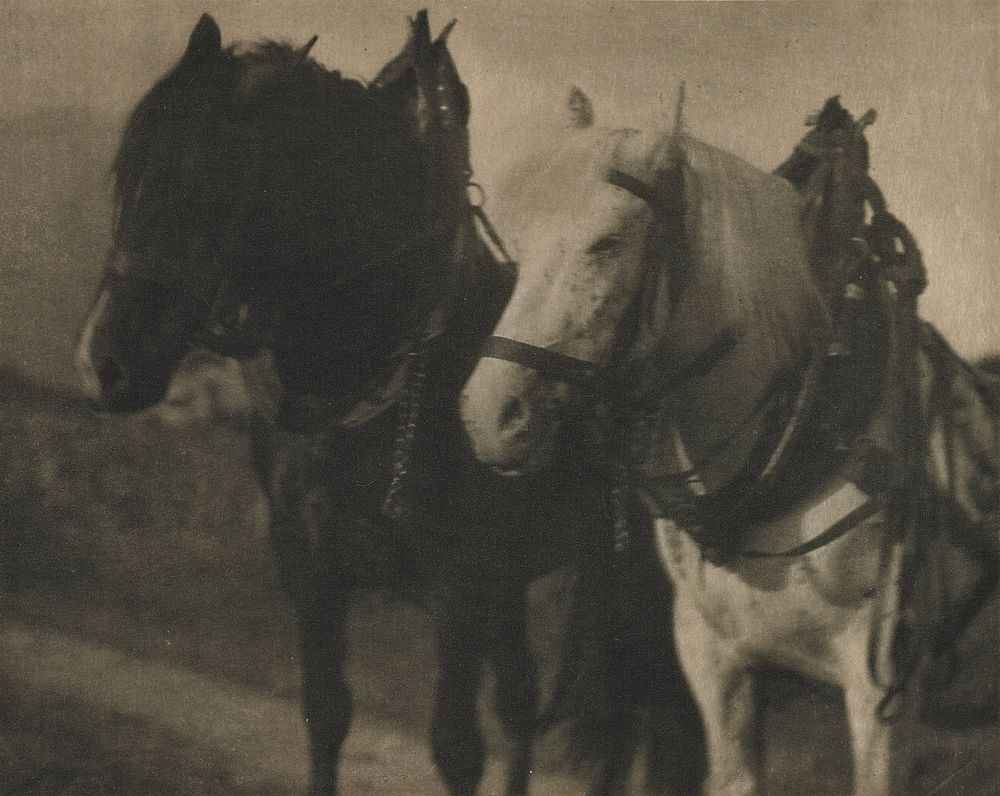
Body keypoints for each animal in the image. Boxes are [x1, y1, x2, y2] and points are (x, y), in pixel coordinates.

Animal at [74, 12, 700, 796]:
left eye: (205, 189)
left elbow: (456, 747)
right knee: (527, 695)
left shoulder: (460, 587)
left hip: (634, 587)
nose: (103, 365)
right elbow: (325, 712)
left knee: (634, 712)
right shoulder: (313, 572)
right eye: (127, 177)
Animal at [458, 90, 992, 792]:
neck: (791, 444)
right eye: (519, 247)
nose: (489, 414)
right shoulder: (715, 662)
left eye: (608, 242)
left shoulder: (884, 689)